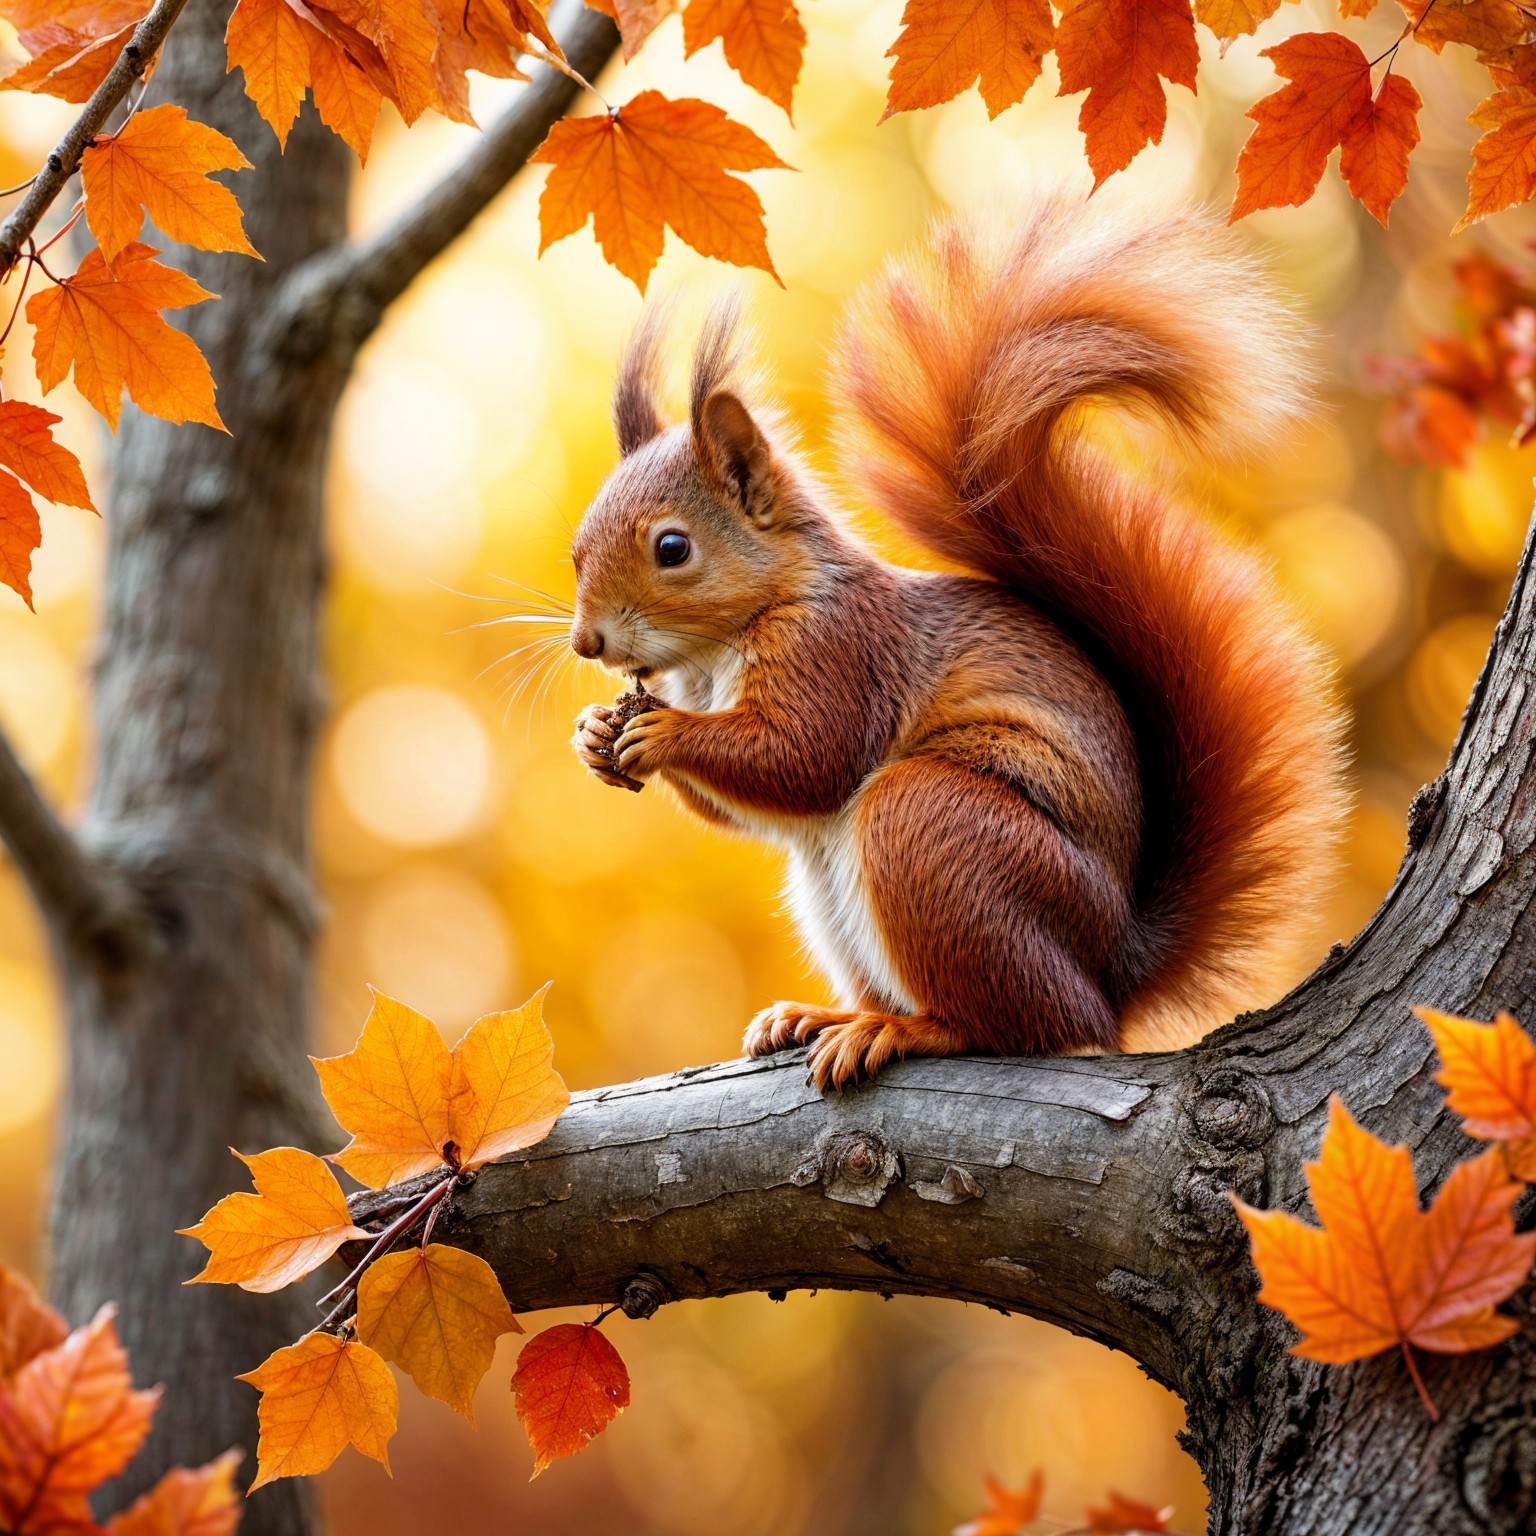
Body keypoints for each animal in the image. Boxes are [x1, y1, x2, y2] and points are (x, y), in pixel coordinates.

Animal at [567, 191, 1347, 1091]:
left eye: (672, 548)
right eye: (578, 544)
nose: (587, 643)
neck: (713, 657)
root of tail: (1111, 976)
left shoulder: (842, 653)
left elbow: (805, 756)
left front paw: (664, 733)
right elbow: (747, 807)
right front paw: (596, 733)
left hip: (937, 830)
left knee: (1023, 1023)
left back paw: (905, 1029)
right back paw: (824, 1015)